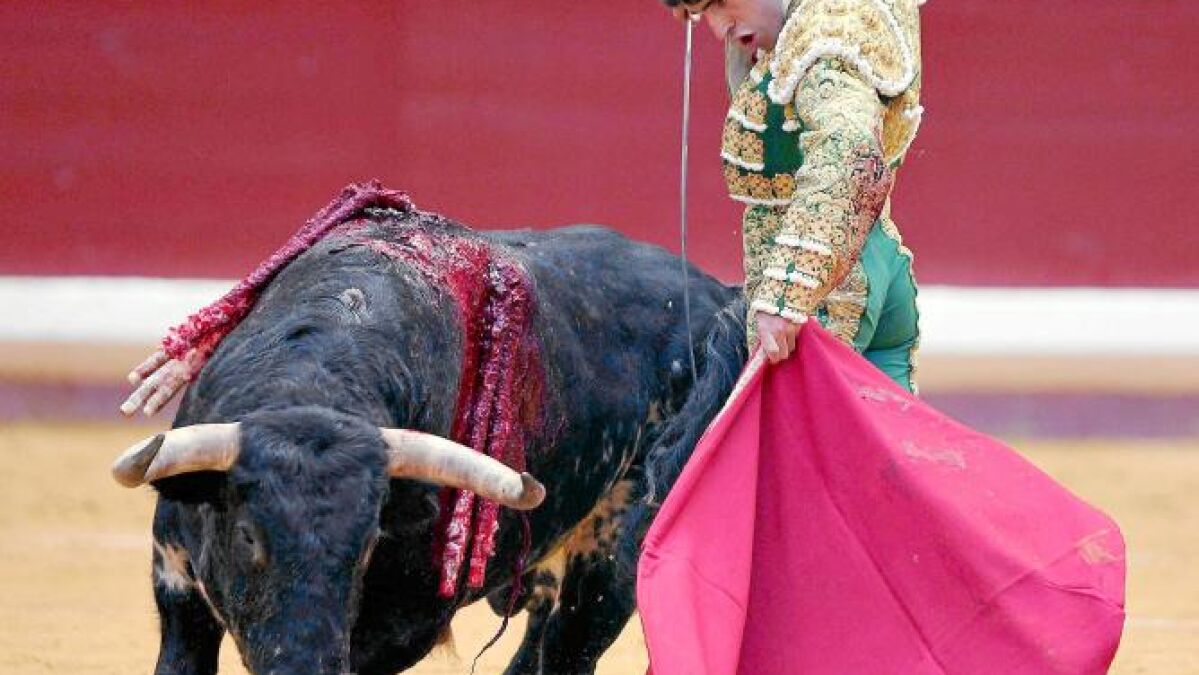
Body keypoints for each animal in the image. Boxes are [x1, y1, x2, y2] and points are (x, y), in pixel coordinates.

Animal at [113, 196, 747, 674]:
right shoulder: (177, 592)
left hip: (615, 555)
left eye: (369, 542)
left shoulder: (406, 623)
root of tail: (720, 295)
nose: (303, 666)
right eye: (247, 534)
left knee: (573, 646)